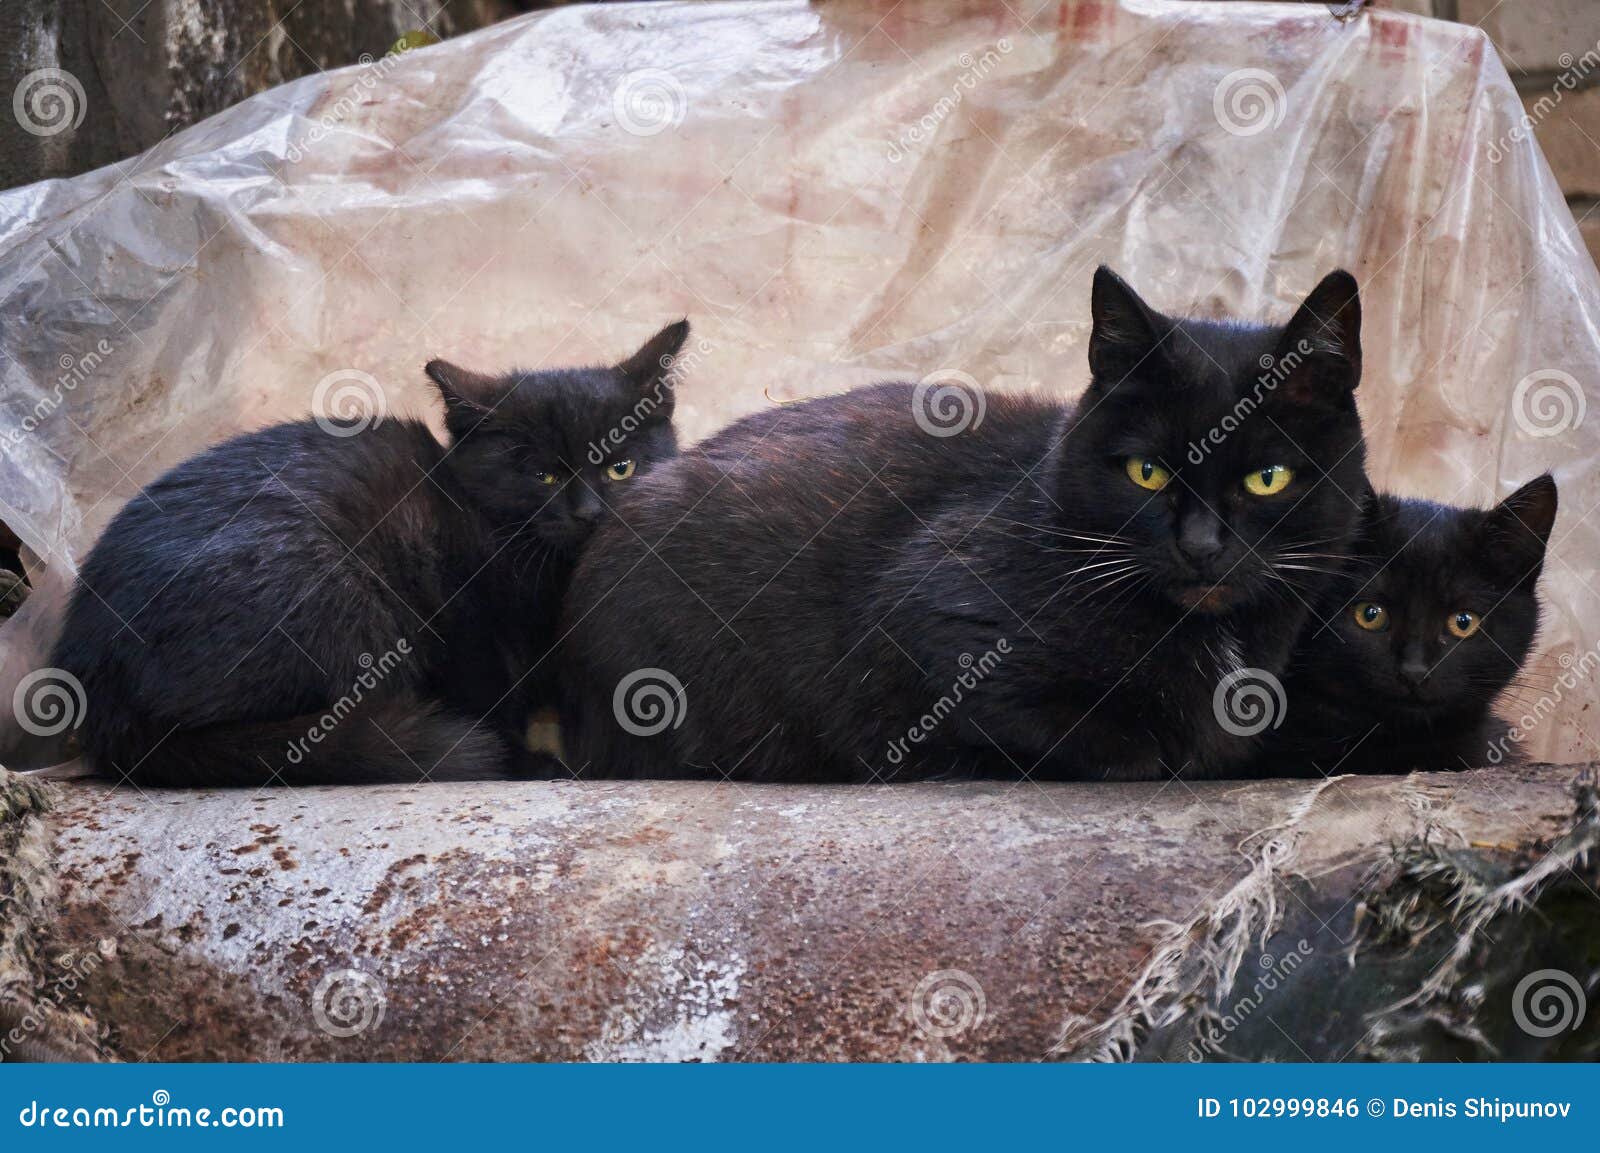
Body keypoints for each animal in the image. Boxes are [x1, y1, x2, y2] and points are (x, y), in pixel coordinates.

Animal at [48, 316, 688, 783]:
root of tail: (96, 693)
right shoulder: (465, 619)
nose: (589, 513)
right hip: (338, 595)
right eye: (542, 476)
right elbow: (487, 694)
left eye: (621, 466)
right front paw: (524, 761)